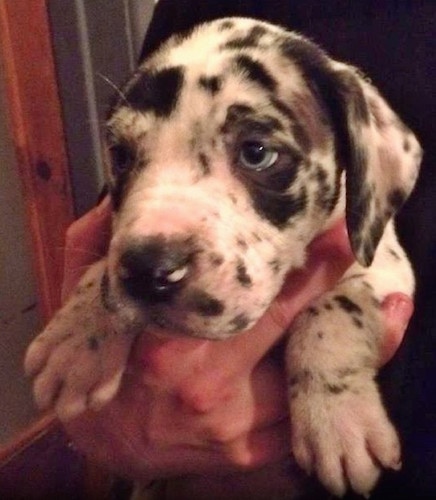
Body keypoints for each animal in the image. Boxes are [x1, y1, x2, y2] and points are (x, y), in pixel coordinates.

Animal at [24, 17, 422, 498]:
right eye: (120, 156)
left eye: (256, 153)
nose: (149, 271)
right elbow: (100, 270)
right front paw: (78, 338)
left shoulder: (385, 268)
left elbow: (333, 307)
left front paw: (337, 417)